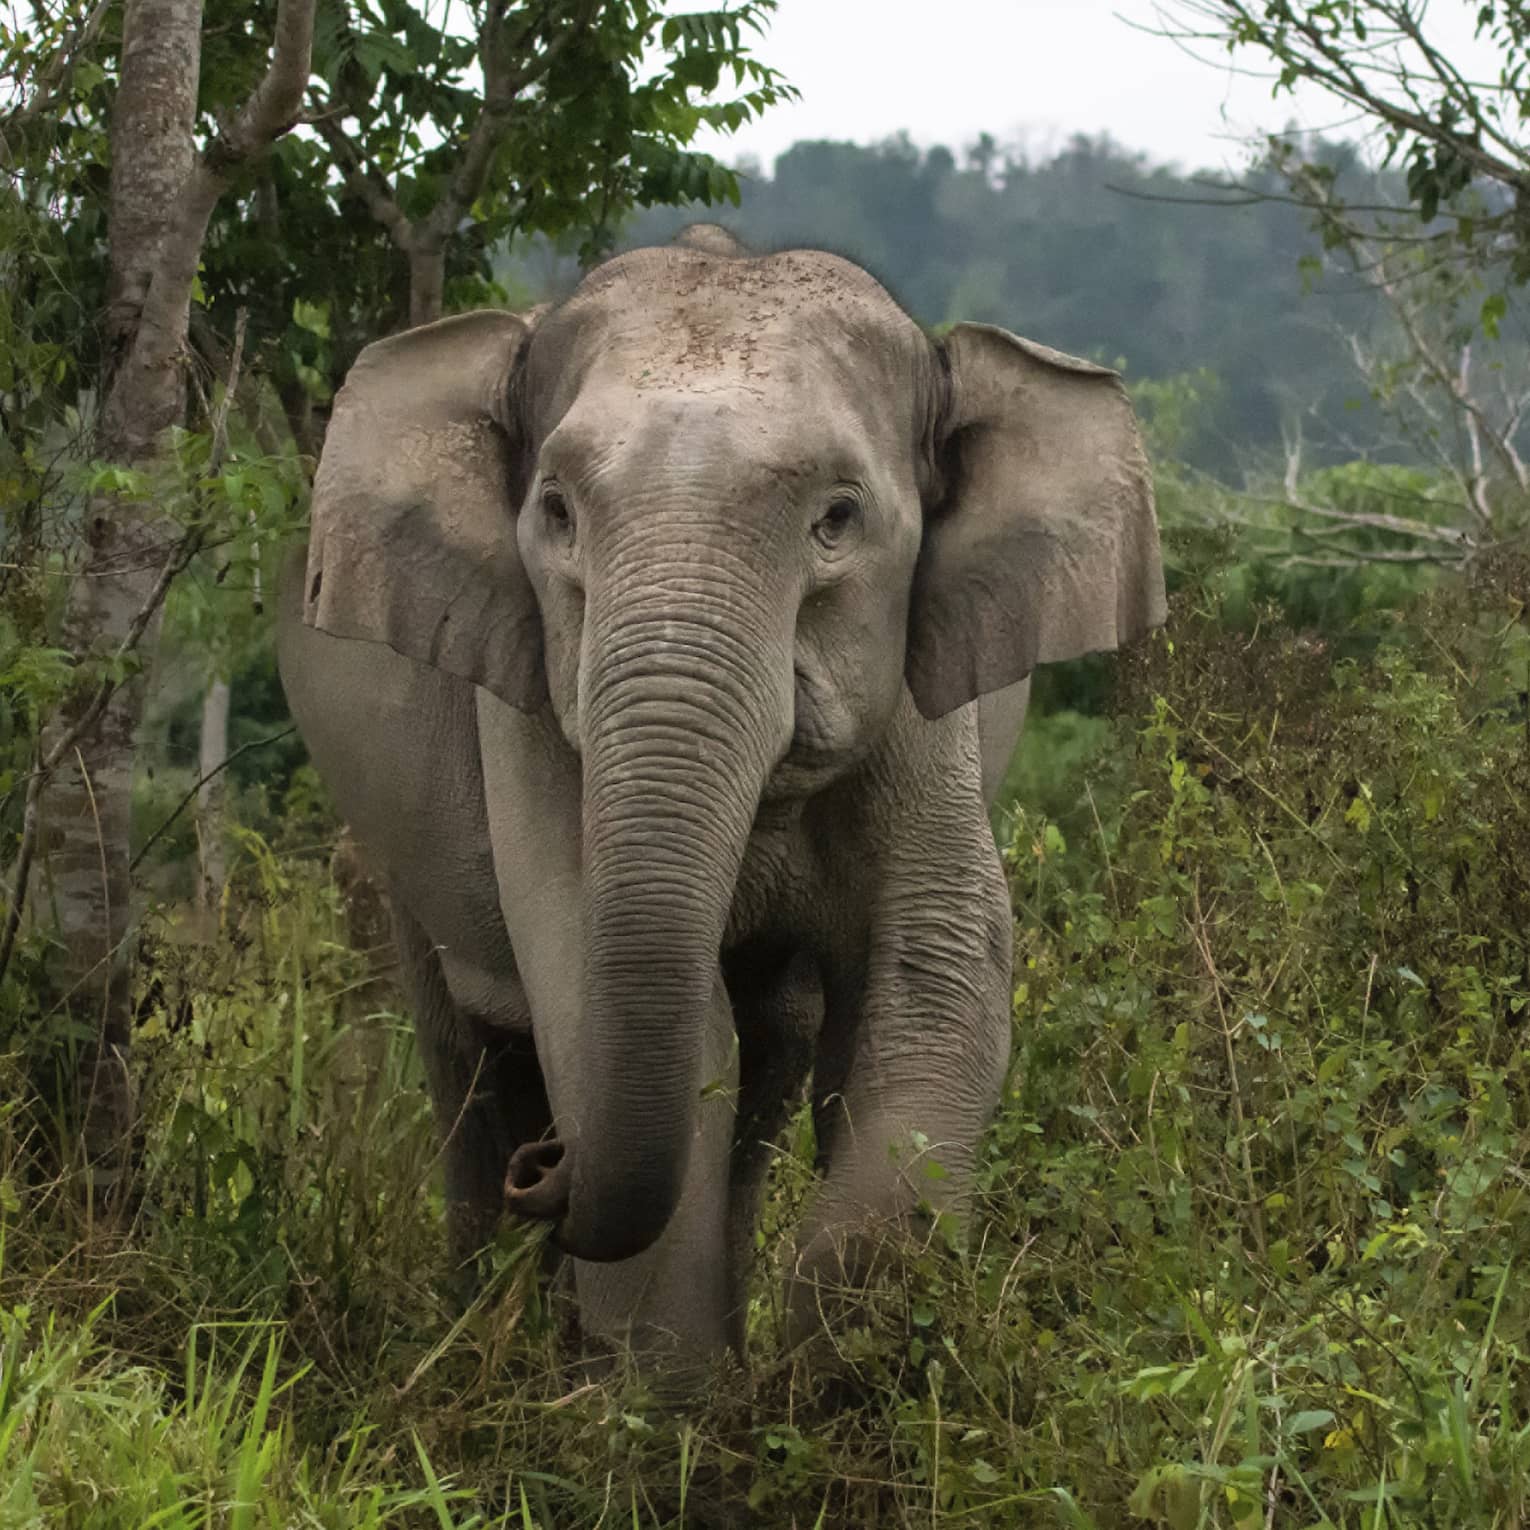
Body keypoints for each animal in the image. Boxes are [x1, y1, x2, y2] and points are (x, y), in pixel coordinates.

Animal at [276, 226, 1165, 1373]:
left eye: (839, 518)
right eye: (555, 512)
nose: (547, 1175)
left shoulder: (925, 710)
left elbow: (938, 974)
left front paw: (836, 1363)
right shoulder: (531, 708)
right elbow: (618, 1004)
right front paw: (671, 1415)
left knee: (771, 1053)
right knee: (468, 1060)